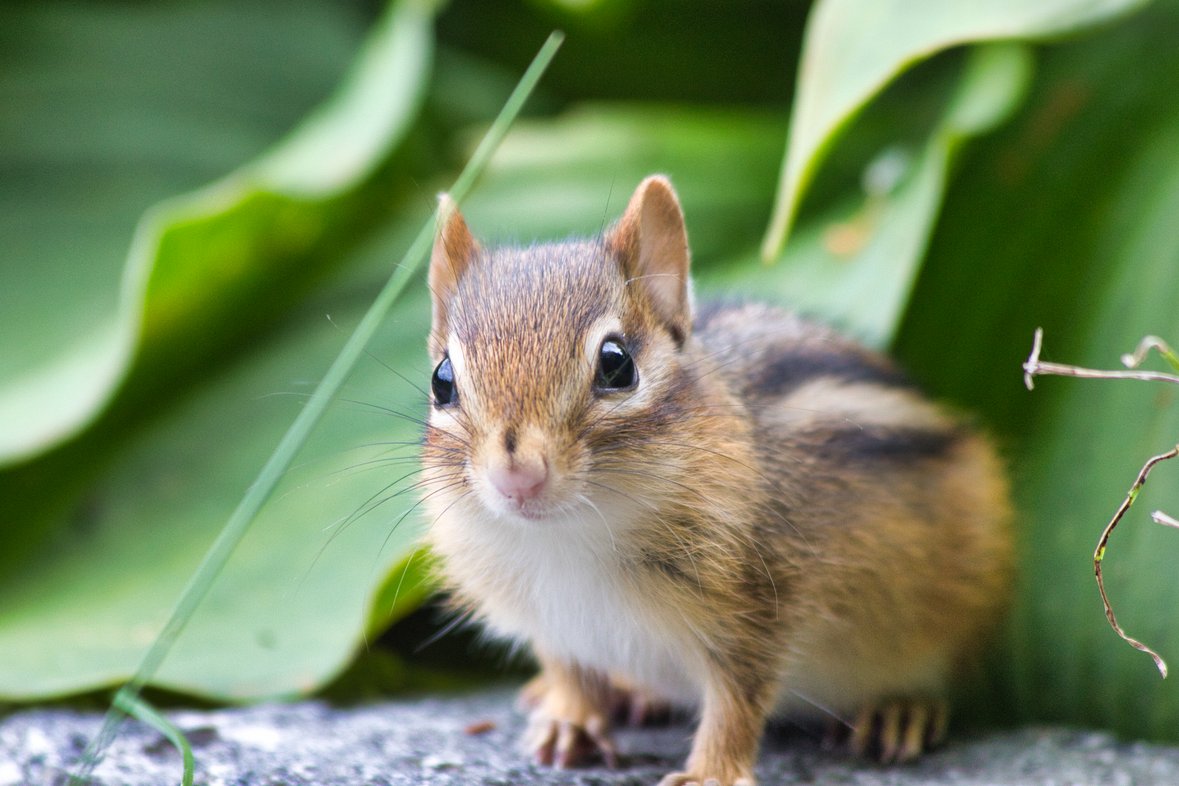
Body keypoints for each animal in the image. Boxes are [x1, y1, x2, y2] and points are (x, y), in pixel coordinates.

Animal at [420, 175, 1013, 786]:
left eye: (617, 364)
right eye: (443, 380)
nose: (517, 477)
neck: (570, 537)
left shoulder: (759, 608)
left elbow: (737, 700)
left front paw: (711, 773)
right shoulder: (554, 625)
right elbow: (570, 670)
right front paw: (570, 718)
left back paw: (900, 709)